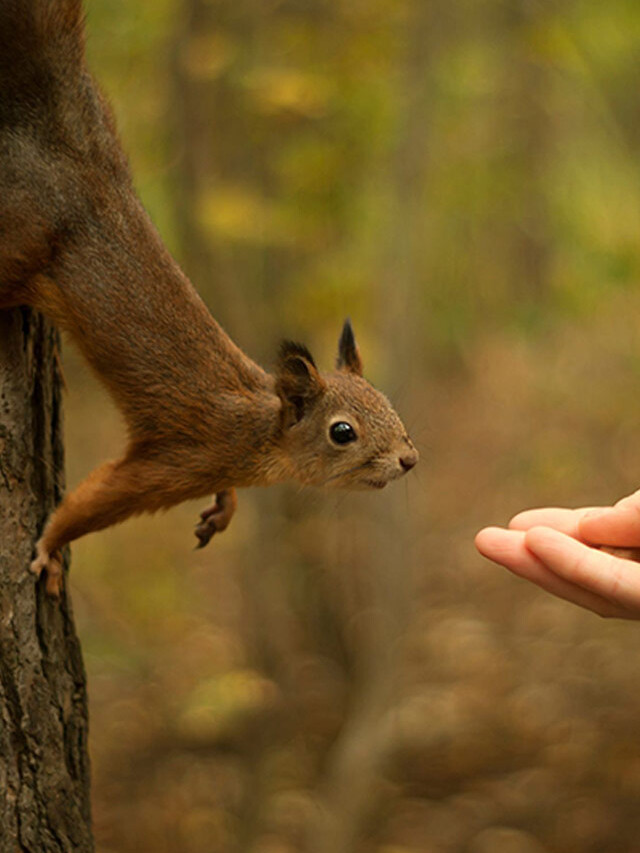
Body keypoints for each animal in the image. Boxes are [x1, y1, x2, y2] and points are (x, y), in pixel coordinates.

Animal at [0, 0, 418, 597]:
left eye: (387, 401)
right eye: (343, 432)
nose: (408, 459)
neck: (263, 436)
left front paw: (225, 508)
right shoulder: (184, 458)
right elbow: (92, 499)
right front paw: (51, 547)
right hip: (19, 241)